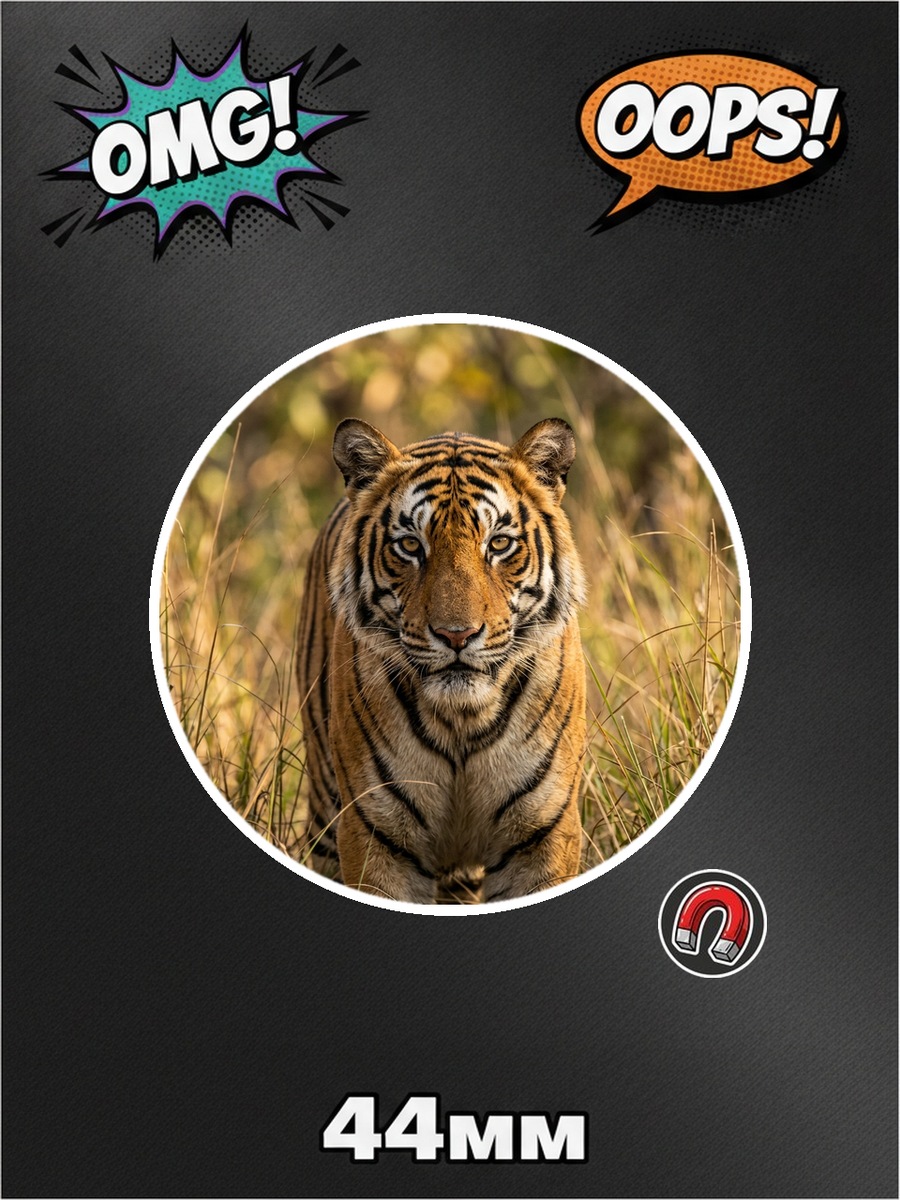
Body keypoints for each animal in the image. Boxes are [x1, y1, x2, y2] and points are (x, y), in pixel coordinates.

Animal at [295, 417, 587, 904]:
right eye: (411, 546)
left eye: (499, 544)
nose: (457, 635)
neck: (462, 720)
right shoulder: (376, 836)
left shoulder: (543, 833)